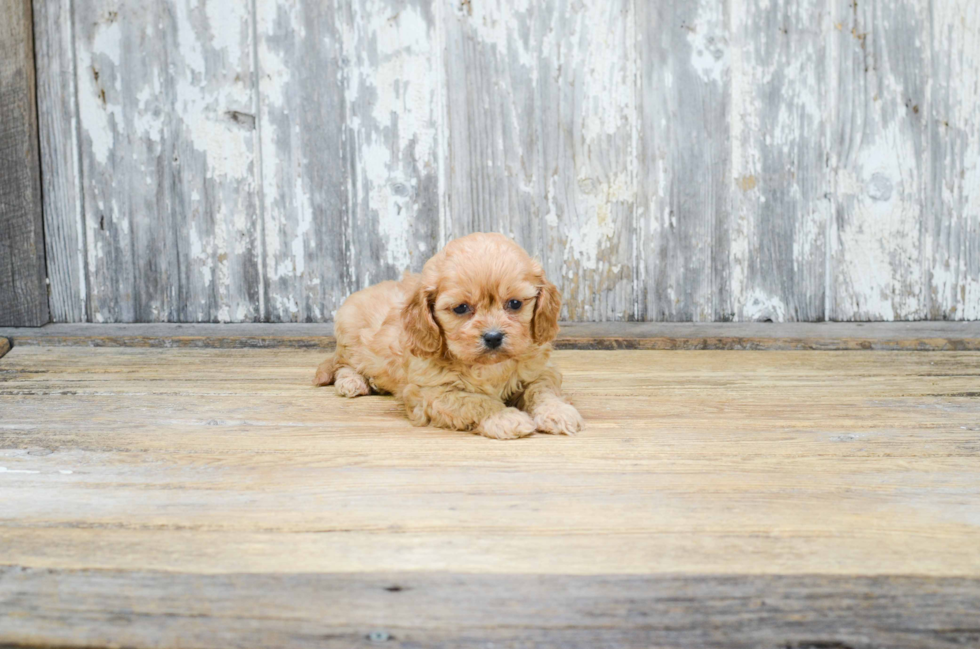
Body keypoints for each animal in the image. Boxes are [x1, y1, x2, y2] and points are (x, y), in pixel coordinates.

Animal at [312, 230, 580, 438]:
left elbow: (542, 390)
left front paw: (557, 411)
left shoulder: (540, 371)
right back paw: (352, 381)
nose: (493, 337)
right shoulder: (431, 393)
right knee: (341, 364)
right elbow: (475, 401)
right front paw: (503, 417)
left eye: (514, 304)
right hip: (350, 337)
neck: (489, 367)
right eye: (461, 308)